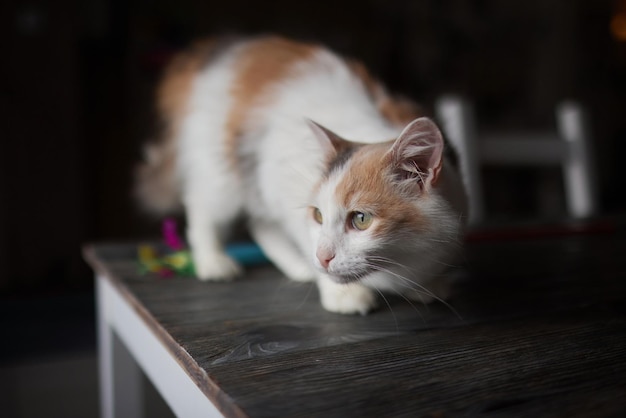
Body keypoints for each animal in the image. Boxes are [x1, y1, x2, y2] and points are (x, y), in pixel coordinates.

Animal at [138, 36, 468, 314]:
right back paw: (215, 262)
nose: (323, 258)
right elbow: (303, 236)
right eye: (318, 215)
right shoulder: (285, 186)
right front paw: (343, 293)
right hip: (222, 173)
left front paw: (428, 285)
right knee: (203, 210)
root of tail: (221, 48)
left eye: (361, 219)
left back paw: (298, 267)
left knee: (259, 223)